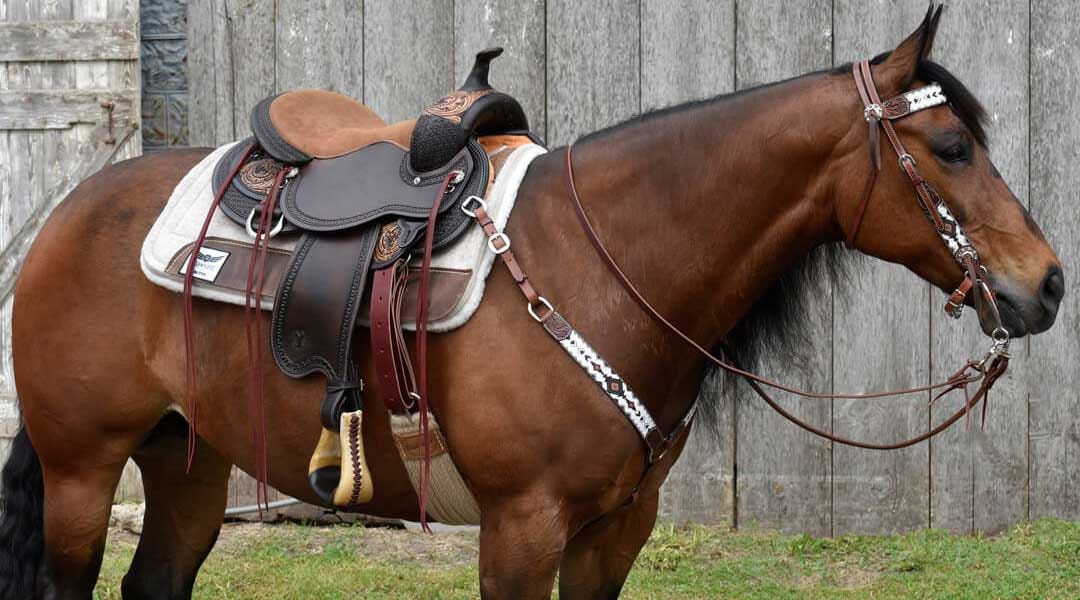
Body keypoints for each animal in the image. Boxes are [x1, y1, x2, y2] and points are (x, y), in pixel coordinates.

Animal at [0, 8, 1063, 599]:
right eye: (953, 149)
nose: (1047, 282)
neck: (604, 263)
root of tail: (69, 213)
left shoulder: (613, 533)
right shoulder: (520, 530)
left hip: (184, 458)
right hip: (82, 468)